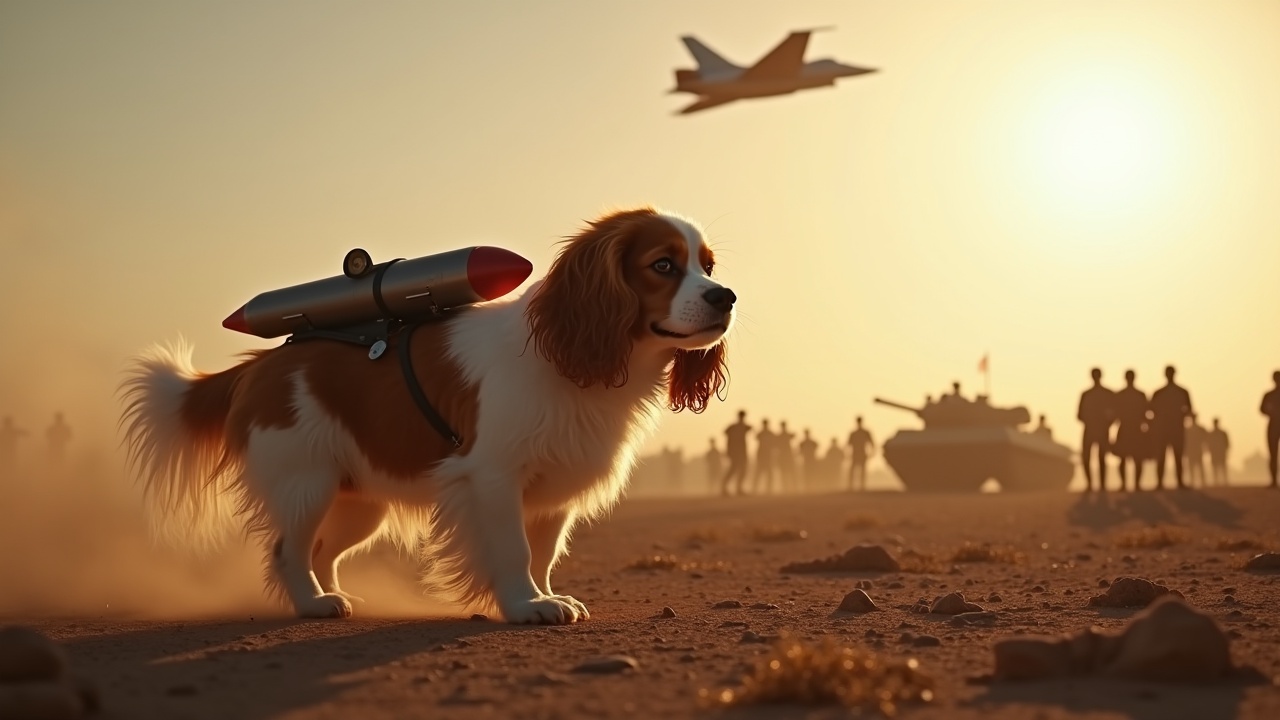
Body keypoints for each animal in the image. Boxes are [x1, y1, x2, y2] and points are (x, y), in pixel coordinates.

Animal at [122, 206, 742, 622]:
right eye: (662, 265)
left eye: (709, 267)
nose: (726, 296)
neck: (570, 358)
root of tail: (258, 364)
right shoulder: (493, 477)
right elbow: (515, 549)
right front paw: (524, 606)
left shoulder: (553, 491)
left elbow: (543, 553)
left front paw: (545, 595)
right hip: (305, 484)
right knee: (287, 550)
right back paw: (313, 604)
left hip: (359, 503)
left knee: (321, 550)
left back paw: (336, 595)